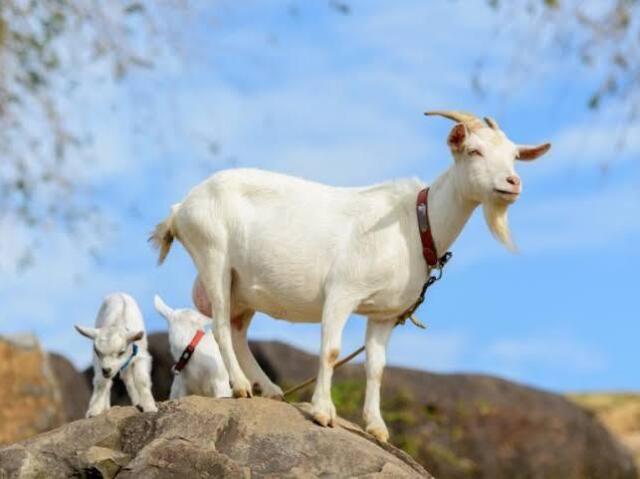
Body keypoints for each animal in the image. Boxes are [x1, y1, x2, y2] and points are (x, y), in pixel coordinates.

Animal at [149, 110, 552, 440]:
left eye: (514, 156)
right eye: (474, 151)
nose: (512, 183)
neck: (414, 224)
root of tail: (180, 208)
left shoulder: (385, 314)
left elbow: (376, 367)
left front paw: (376, 427)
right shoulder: (342, 292)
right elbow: (331, 351)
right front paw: (323, 412)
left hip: (242, 286)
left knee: (237, 330)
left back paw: (270, 390)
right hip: (213, 256)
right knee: (219, 326)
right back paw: (241, 386)